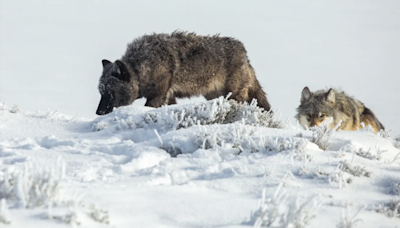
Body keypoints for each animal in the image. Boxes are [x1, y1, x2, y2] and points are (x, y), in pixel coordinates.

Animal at [96, 31, 272, 115]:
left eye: (110, 93)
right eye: (101, 92)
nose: (98, 112)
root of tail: (245, 53)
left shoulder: (158, 95)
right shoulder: (169, 97)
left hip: (233, 95)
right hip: (215, 96)